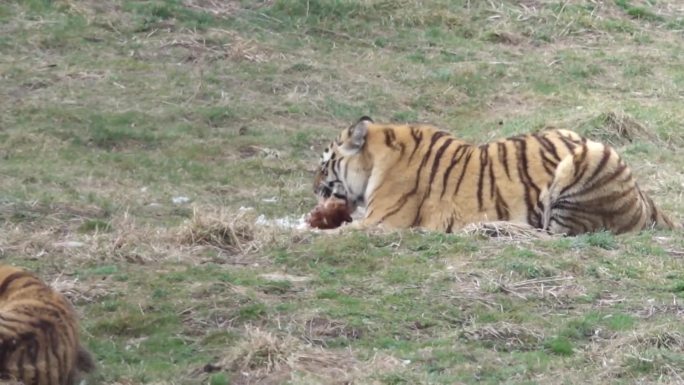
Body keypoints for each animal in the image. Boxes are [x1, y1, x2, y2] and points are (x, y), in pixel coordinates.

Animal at [316, 115, 680, 234]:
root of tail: (644, 195)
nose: (314, 188)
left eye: (324, 165)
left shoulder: (381, 221)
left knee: (554, 235)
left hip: (587, 159)